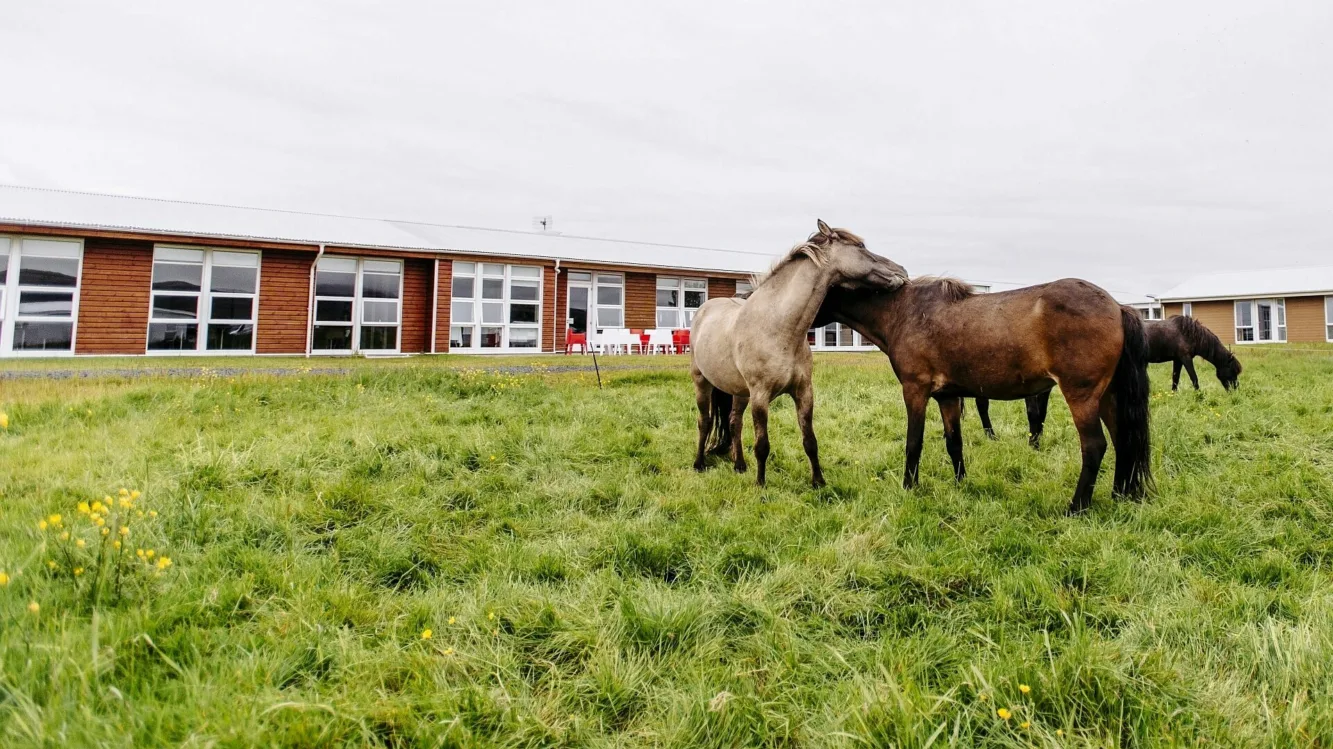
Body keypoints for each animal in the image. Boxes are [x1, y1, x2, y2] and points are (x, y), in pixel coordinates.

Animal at [815, 275, 1151, 511]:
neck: (904, 312)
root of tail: (1118, 307)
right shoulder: (947, 396)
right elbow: (954, 443)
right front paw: (961, 484)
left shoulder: (915, 390)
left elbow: (913, 444)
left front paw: (909, 487)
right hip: (1108, 396)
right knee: (1122, 440)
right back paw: (1119, 494)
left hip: (1082, 396)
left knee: (1095, 446)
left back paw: (1076, 506)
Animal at [975, 313, 1242, 445]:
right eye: (1232, 372)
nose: (1234, 392)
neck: (1186, 332)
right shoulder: (1185, 357)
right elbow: (1194, 378)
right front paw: (1197, 395)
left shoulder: (1178, 359)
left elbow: (1176, 379)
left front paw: (1176, 395)